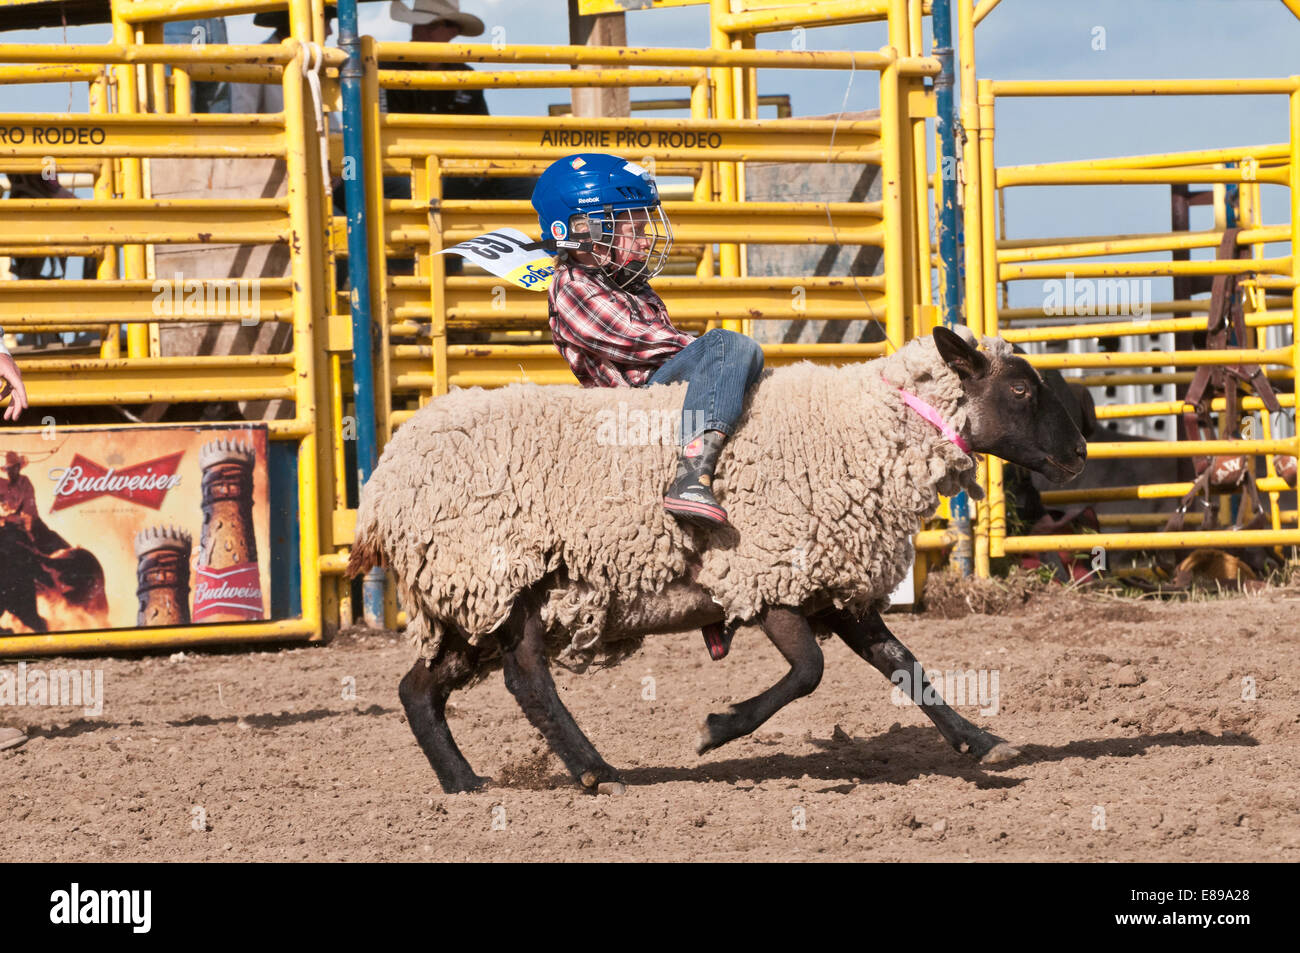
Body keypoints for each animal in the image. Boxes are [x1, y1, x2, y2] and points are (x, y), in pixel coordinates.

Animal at [345, 328, 1086, 795]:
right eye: (1022, 390)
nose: (1079, 452)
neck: (862, 427)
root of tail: (385, 480)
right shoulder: (768, 574)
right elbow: (809, 672)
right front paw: (715, 730)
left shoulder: (830, 583)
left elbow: (906, 666)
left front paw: (983, 742)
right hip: (503, 574)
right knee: (526, 678)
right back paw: (596, 772)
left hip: (469, 600)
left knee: (419, 687)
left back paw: (464, 782)